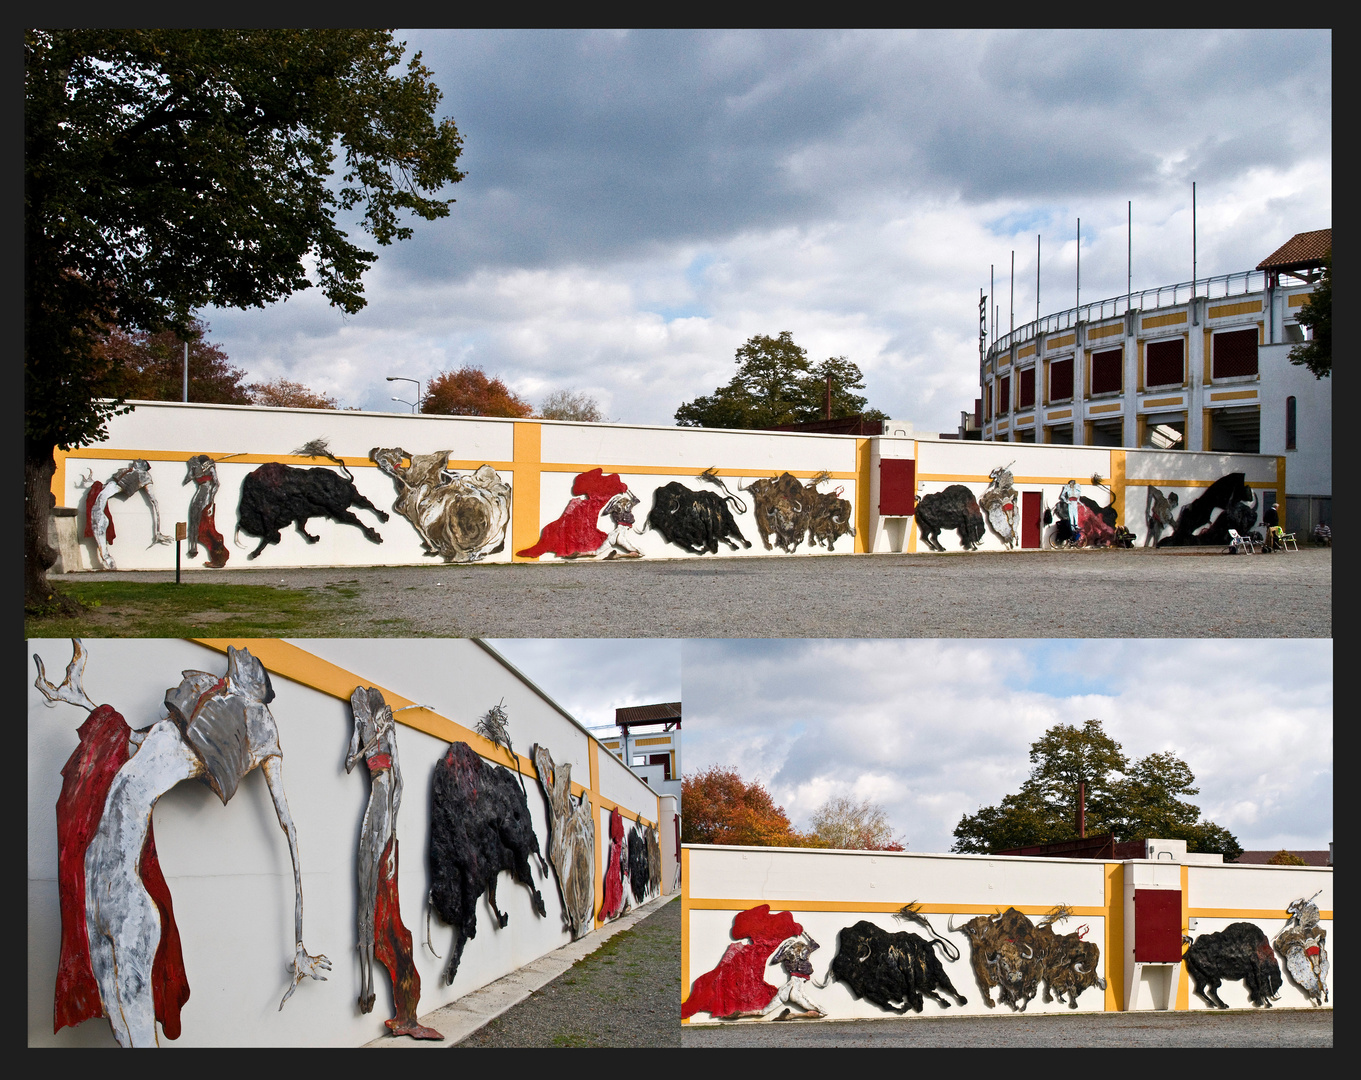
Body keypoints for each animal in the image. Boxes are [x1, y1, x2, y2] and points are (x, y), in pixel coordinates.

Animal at [235, 459, 389, 554]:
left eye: (254, 529)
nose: (277, 539)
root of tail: (345, 480)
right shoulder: (301, 515)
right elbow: (301, 528)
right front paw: (314, 538)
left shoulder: (268, 512)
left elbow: (270, 532)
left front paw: (255, 553)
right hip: (352, 499)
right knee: (365, 504)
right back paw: (383, 518)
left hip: (339, 510)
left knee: (355, 517)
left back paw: (375, 534)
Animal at [430, 739, 547, 984]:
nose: (447, 912)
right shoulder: (486, 870)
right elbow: (490, 898)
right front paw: (501, 918)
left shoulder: (473, 872)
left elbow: (469, 922)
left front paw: (451, 972)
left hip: (519, 845)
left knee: (531, 866)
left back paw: (542, 899)